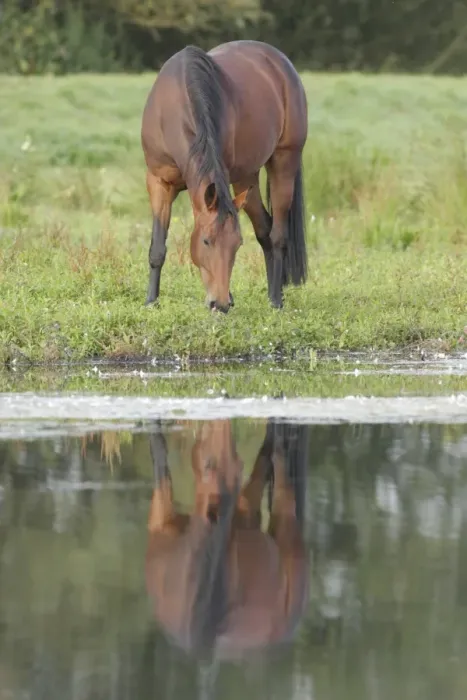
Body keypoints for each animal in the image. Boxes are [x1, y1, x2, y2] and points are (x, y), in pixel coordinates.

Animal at [141, 40, 308, 313]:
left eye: (237, 244)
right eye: (206, 241)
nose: (219, 304)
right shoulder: (158, 182)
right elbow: (157, 247)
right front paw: (150, 301)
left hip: (284, 162)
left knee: (278, 235)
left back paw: (276, 300)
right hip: (246, 179)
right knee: (265, 229)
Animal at [144, 419, 309, 660]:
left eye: (238, 465)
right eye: (207, 464)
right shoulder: (161, 519)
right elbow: (159, 455)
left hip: (282, 525)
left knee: (279, 471)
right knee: (266, 456)